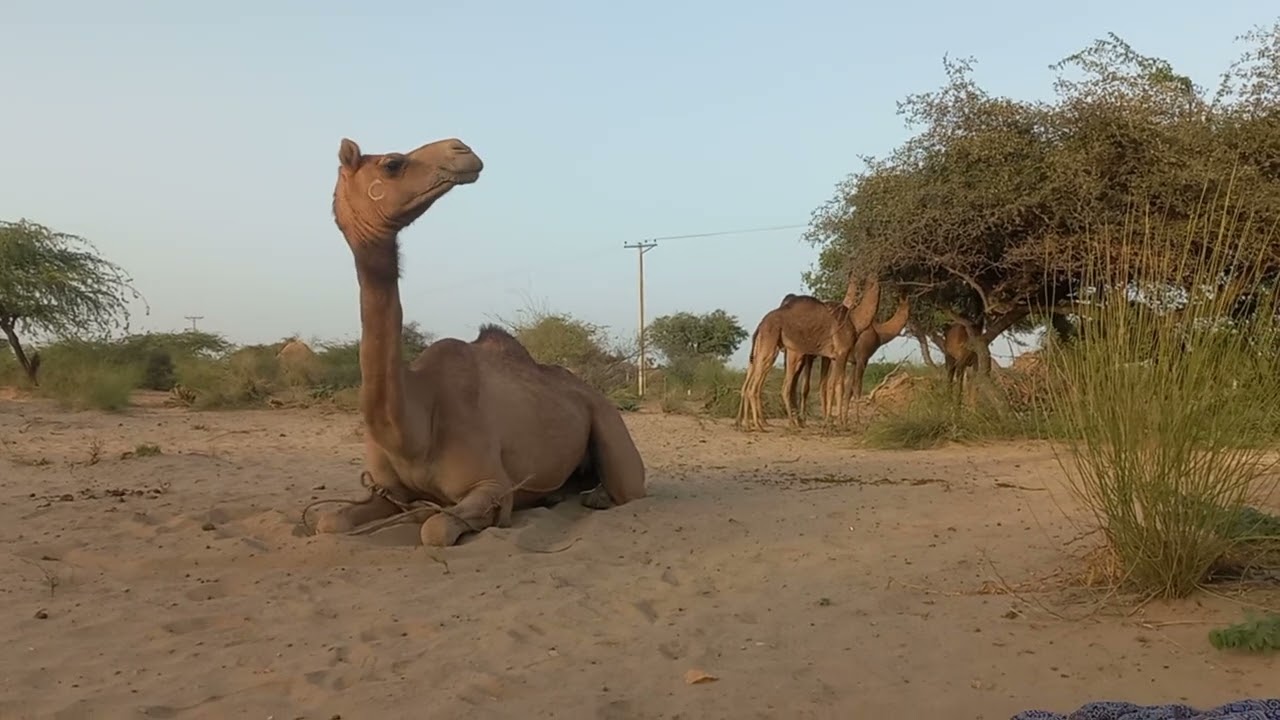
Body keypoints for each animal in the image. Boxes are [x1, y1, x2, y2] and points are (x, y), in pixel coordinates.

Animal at [310, 136, 646, 547]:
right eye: (392, 163)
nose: (461, 148)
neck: (413, 429)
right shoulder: (385, 491)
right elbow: (330, 521)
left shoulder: (493, 485)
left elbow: (436, 528)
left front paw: (429, 517)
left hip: (611, 427)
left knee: (626, 487)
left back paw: (595, 496)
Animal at [735, 276, 881, 431]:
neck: (855, 321)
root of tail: (761, 324)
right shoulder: (842, 353)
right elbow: (839, 386)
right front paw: (841, 424)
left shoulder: (833, 357)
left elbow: (830, 386)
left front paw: (830, 422)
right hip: (772, 346)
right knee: (764, 386)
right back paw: (765, 425)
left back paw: (753, 424)